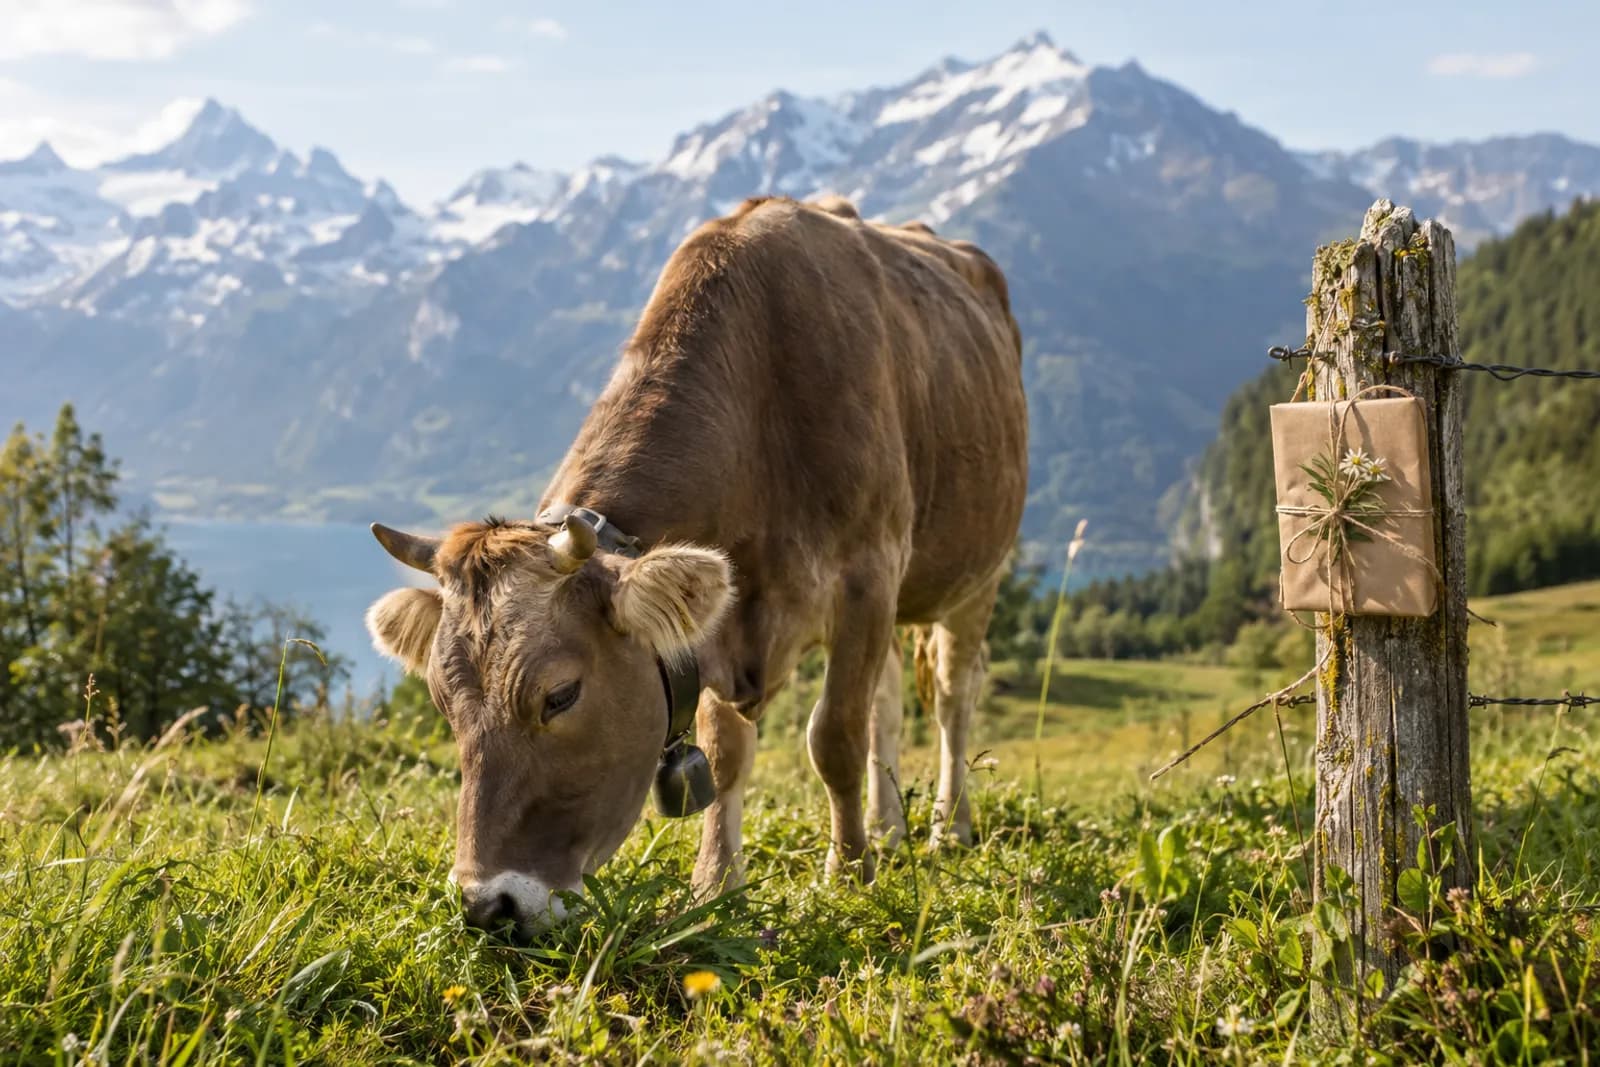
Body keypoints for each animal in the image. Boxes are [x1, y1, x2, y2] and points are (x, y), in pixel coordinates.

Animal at [365, 195, 1027, 933]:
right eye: (442, 703)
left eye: (560, 695)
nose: (489, 904)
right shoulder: (720, 622)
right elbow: (728, 748)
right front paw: (716, 883)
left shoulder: (868, 575)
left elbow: (835, 736)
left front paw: (849, 874)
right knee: (887, 701)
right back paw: (888, 828)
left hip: (977, 573)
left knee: (952, 694)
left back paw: (948, 826)